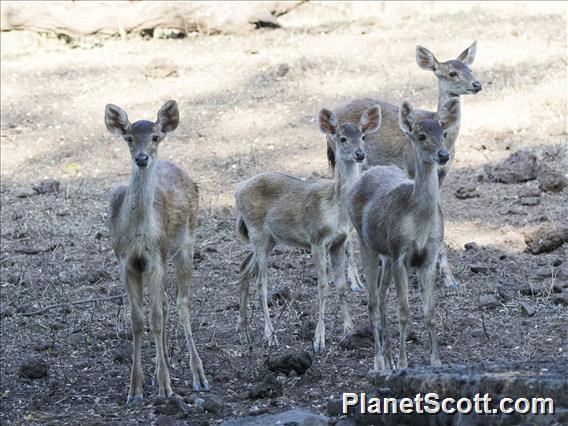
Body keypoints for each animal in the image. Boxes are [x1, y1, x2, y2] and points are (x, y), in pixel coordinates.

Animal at [104, 100, 209, 406]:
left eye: (154, 137)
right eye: (129, 138)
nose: (142, 158)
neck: (139, 237)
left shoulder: (154, 259)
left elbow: (156, 319)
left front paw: (165, 387)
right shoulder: (126, 262)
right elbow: (138, 320)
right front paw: (135, 389)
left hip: (185, 245)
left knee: (182, 304)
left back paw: (199, 376)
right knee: (163, 303)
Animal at [235, 104, 382, 352]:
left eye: (362, 136)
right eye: (342, 138)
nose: (360, 154)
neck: (335, 211)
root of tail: (237, 190)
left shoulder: (339, 241)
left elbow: (341, 286)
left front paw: (349, 331)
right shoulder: (316, 239)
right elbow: (323, 286)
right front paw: (319, 340)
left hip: (269, 239)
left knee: (244, 268)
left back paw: (244, 332)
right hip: (257, 233)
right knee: (261, 283)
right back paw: (270, 335)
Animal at [330, 41, 482, 292]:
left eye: (470, 68)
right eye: (453, 73)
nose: (477, 84)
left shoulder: (443, 175)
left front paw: (449, 279)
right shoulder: (411, 168)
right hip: (345, 160)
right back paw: (354, 282)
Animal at [348, 98, 460, 372]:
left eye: (443, 133)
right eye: (421, 136)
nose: (443, 155)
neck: (419, 221)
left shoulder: (427, 257)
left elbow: (429, 311)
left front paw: (436, 361)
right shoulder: (401, 253)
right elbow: (404, 311)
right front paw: (403, 362)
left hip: (385, 255)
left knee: (382, 297)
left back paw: (387, 358)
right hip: (366, 244)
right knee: (373, 302)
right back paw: (380, 361)